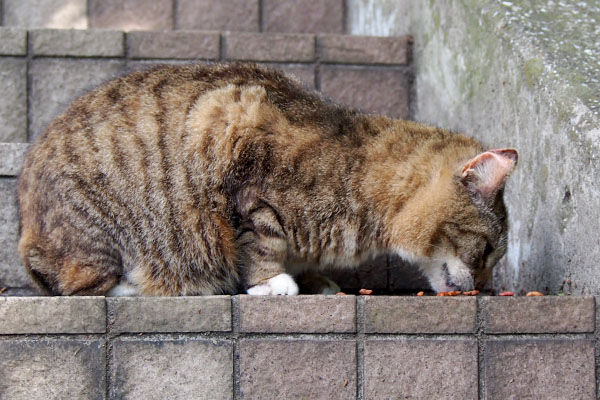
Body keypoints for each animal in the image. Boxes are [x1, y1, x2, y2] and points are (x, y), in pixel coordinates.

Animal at [17, 61, 516, 294]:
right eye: (486, 250)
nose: (484, 287)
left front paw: (313, 279)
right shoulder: (239, 152)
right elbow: (261, 240)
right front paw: (271, 282)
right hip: (101, 235)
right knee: (84, 285)